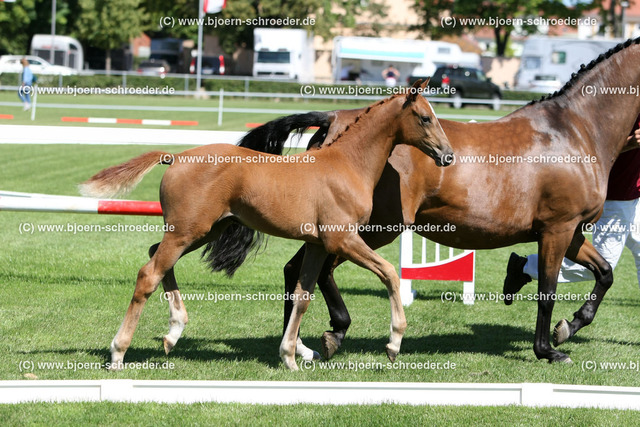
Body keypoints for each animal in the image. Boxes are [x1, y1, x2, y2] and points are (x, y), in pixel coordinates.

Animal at [79, 81, 456, 372]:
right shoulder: (342, 241)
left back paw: (174, 332)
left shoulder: (317, 245)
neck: (346, 164)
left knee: (156, 256)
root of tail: (176, 157)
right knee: (149, 273)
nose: (447, 155)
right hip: (187, 232)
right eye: (425, 117)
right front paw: (393, 343)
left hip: (203, 231)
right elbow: (390, 273)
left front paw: (290, 356)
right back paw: (119, 352)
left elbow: (303, 296)